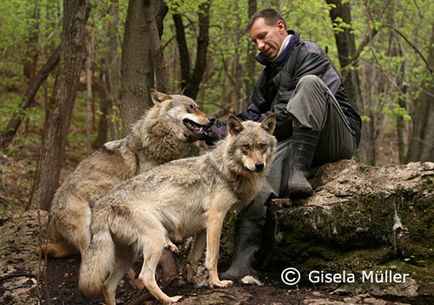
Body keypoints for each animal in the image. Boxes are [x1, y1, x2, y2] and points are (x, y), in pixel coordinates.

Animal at [38, 89, 211, 258]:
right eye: (191, 107)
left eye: (196, 106)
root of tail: (52, 217)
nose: (212, 120)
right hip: (85, 223)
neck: (158, 143)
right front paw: (168, 242)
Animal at [78, 114, 276, 304]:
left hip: (128, 256)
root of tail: (102, 204)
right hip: (156, 240)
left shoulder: (204, 227)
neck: (224, 169)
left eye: (262, 146)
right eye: (246, 147)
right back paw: (169, 299)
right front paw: (216, 283)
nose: (260, 165)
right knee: (145, 277)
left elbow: (194, 258)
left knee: (107, 286)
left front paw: (193, 281)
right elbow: (212, 258)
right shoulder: (216, 218)